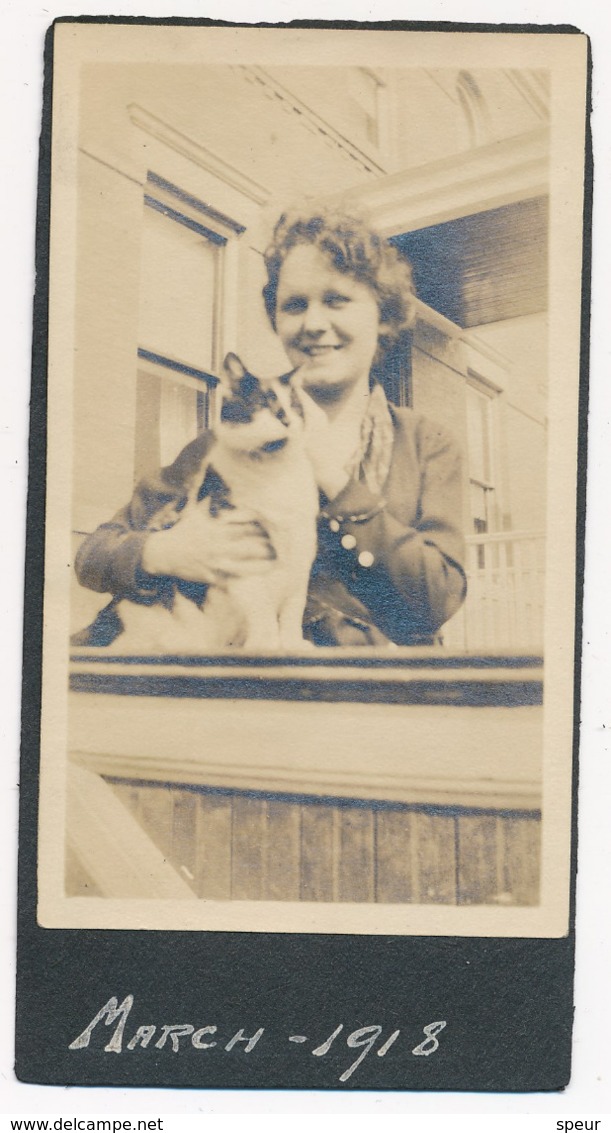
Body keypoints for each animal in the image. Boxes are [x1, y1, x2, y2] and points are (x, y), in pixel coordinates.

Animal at [108, 353, 319, 657]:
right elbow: (262, 609)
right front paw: (266, 644)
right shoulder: (243, 557)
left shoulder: (301, 553)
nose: (287, 418)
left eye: (294, 405)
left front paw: (292, 643)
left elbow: (293, 608)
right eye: (264, 403)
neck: (274, 473)